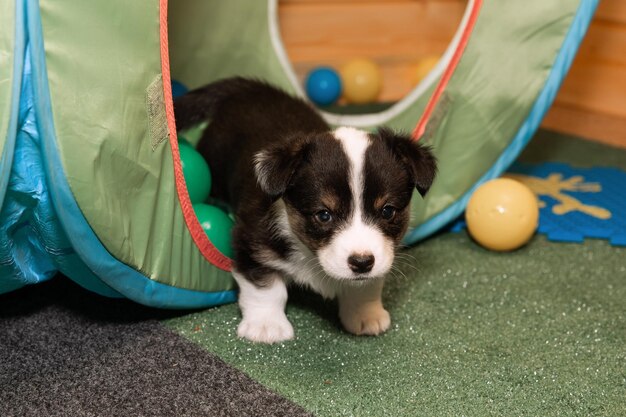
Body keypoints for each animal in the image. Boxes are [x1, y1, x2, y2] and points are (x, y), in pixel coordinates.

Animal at [171, 76, 434, 342]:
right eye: (324, 215)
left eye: (387, 211)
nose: (362, 263)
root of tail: (248, 88)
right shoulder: (251, 240)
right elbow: (265, 285)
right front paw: (266, 326)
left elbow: (366, 286)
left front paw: (365, 314)